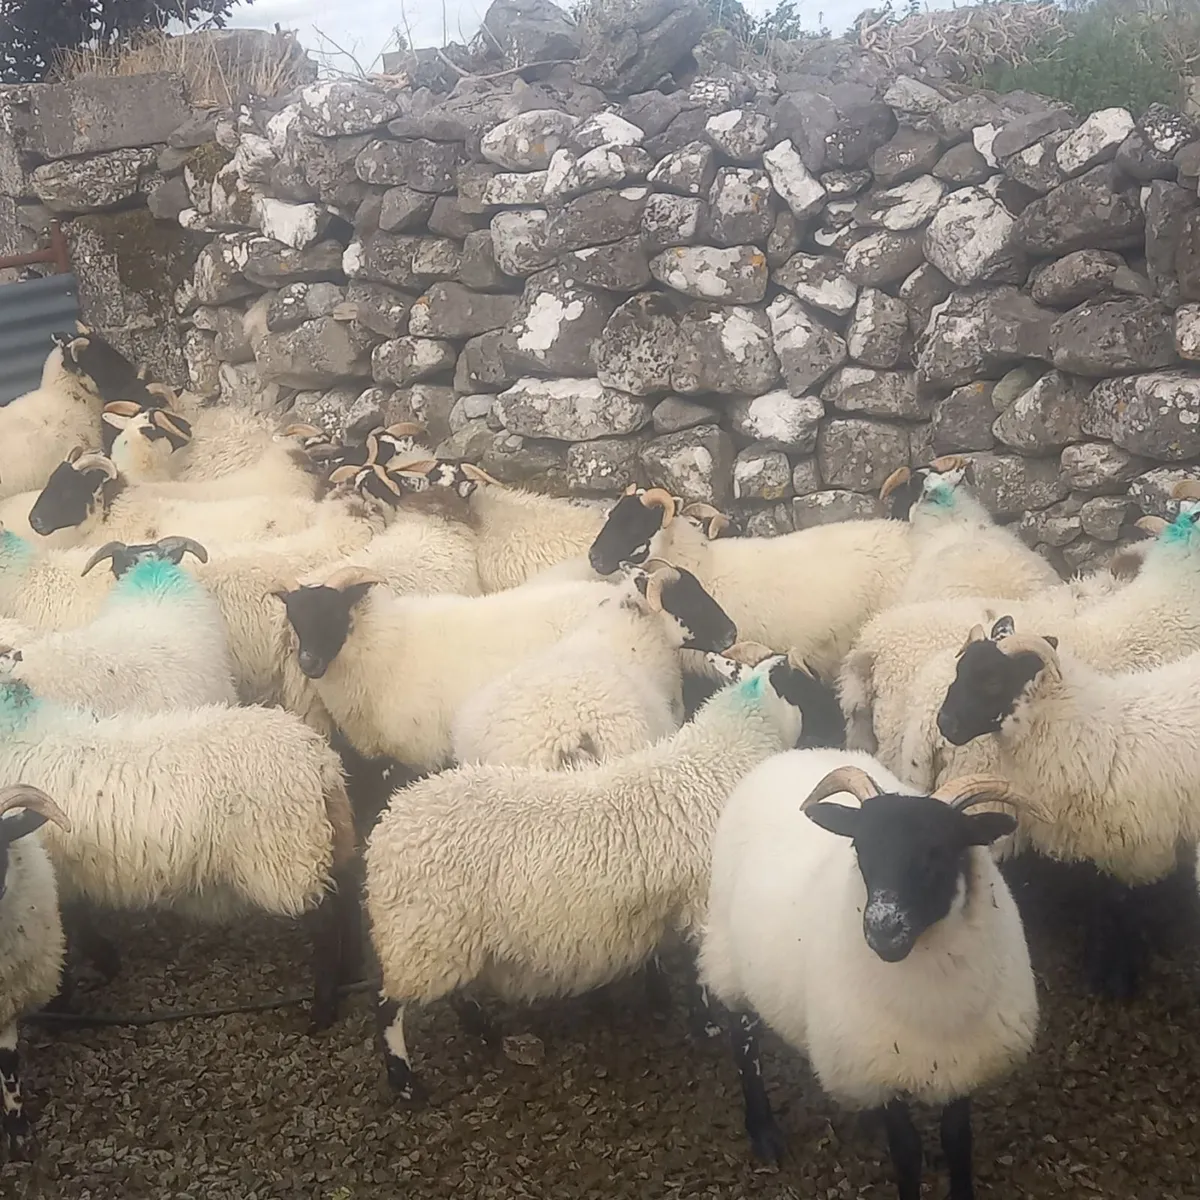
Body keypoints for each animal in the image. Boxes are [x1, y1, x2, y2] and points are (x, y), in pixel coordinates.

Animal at [0, 676, 359, 1032]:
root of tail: (321, 762)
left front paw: (62, 1009)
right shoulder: (68, 878)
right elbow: (81, 926)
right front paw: (108, 962)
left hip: (287, 858)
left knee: (327, 923)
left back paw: (322, 1012)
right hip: (320, 845)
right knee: (345, 899)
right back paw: (348, 975)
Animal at [364, 652, 846, 1102]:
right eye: (809, 685)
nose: (841, 728)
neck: (715, 762)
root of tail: (388, 827)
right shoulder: (700, 899)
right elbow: (698, 972)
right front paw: (706, 1026)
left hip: (444, 938)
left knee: (453, 991)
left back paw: (483, 1030)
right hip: (421, 936)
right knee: (387, 1006)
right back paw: (406, 1085)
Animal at [698, 751, 1038, 1200]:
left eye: (938, 852)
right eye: (859, 848)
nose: (883, 931)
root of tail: (786, 756)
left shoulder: (961, 1061)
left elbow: (957, 1139)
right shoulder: (880, 1063)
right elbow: (907, 1151)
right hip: (728, 953)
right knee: (743, 1039)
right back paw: (764, 1132)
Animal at [936, 615, 1200, 999]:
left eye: (992, 680)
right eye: (960, 670)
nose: (945, 724)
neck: (1081, 732)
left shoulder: (1133, 852)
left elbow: (1122, 910)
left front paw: (1117, 978)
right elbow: (1102, 908)